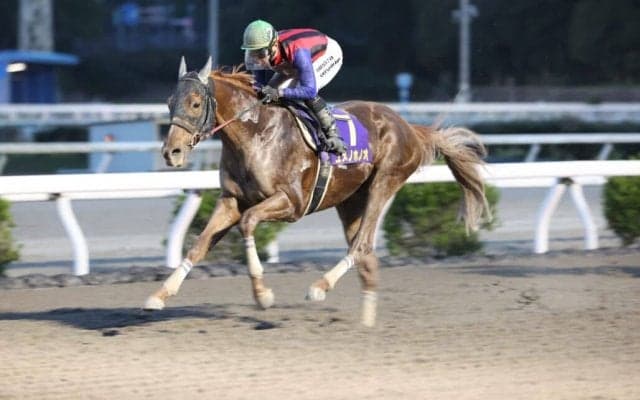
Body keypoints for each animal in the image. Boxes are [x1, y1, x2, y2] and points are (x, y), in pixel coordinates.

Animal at [144, 57, 490, 327]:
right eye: (170, 102)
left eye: (195, 103)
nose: (171, 153)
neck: (256, 132)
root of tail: (410, 128)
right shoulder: (231, 201)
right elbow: (198, 246)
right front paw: (159, 295)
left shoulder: (291, 203)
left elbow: (249, 223)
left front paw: (263, 295)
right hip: (350, 200)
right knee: (367, 255)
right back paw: (366, 321)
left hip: (385, 181)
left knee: (362, 245)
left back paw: (319, 287)